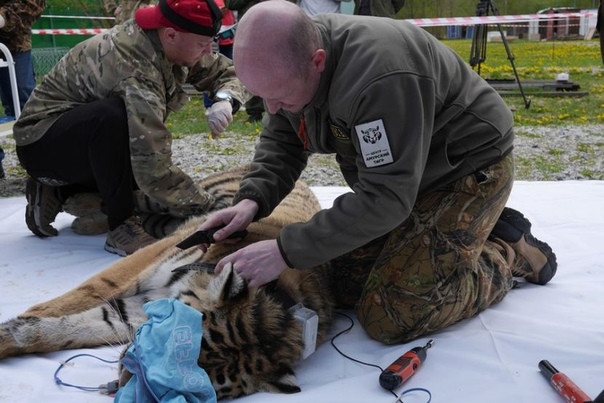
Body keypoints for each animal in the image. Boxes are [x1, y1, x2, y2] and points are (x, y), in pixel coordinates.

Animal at [0, 166, 338, 400]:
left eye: (197, 384)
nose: (123, 380)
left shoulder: (138, 310)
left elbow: (73, 330)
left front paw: (16, 332)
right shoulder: (155, 259)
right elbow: (94, 289)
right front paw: (31, 315)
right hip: (183, 201)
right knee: (137, 194)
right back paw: (66, 203)